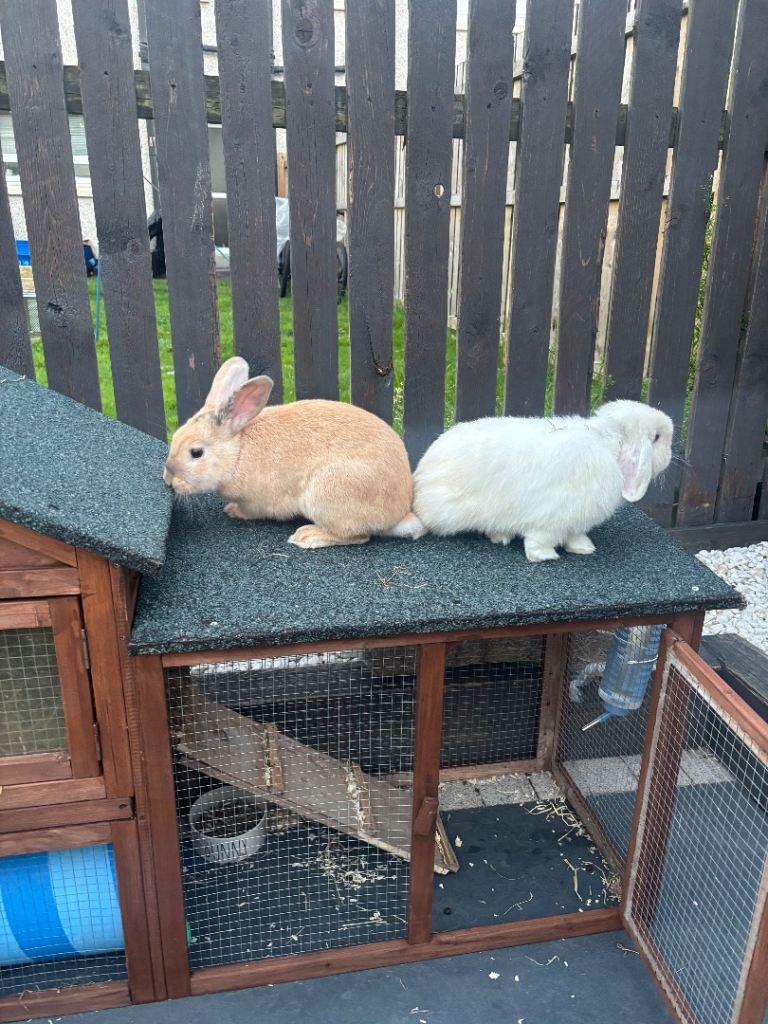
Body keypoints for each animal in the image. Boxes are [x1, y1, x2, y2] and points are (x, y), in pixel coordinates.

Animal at [163, 356, 424, 548]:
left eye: (196, 452)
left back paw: (307, 536)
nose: (168, 480)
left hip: (327, 494)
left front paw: (233, 511)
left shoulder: (256, 502)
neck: (237, 451)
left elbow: (250, 511)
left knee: (357, 536)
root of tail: (398, 513)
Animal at [412, 400, 673, 562]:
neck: (608, 447)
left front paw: (584, 548)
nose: (672, 451)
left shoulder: (575, 521)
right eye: (657, 437)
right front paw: (546, 556)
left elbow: (575, 536)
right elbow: (539, 540)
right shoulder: (551, 519)